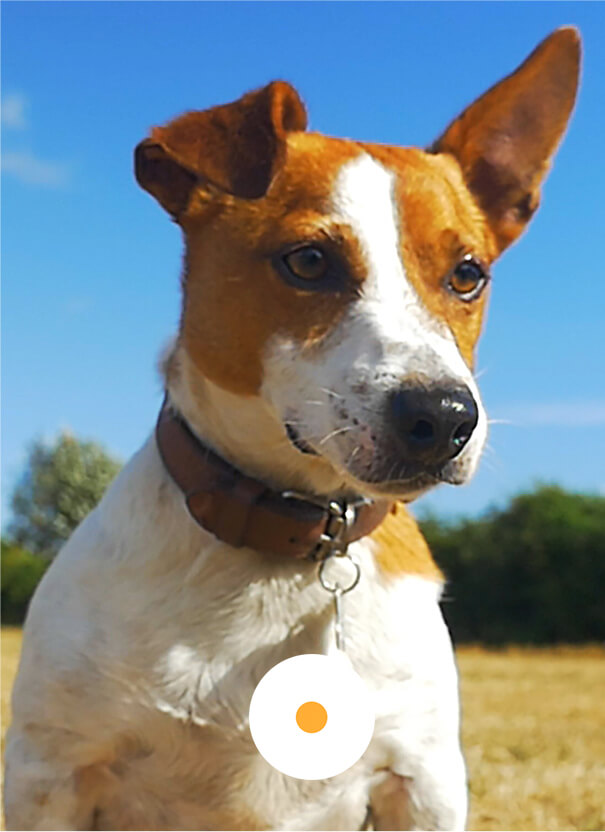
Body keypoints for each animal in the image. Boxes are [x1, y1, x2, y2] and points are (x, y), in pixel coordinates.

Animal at [4, 27, 580, 831]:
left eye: (468, 274)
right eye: (308, 261)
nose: (443, 417)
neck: (283, 551)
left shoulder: (423, 779)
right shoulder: (50, 771)